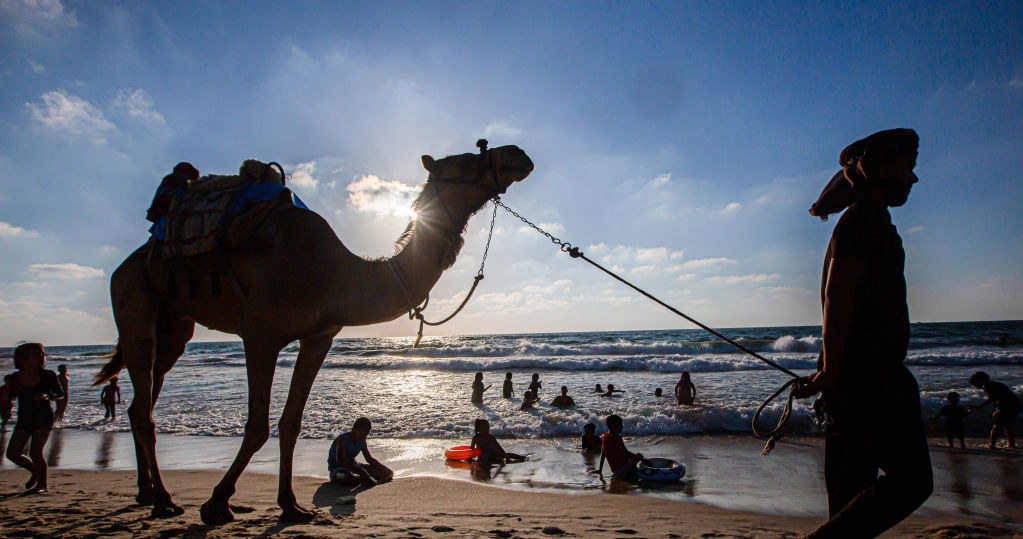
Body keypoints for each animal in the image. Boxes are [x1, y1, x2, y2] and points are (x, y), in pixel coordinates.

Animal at [93, 142, 536, 523]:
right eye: (467, 158)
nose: (518, 154)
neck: (338, 273)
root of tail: (126, 263)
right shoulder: (260, 332)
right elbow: (257, 425)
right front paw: (217, 503)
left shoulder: (320, 336)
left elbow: (291, 422)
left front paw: (290, 505)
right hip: (132, 295)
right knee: (143, 395)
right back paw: (165, 500)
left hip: (174, 323)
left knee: (144, 397)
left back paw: (147, 493)